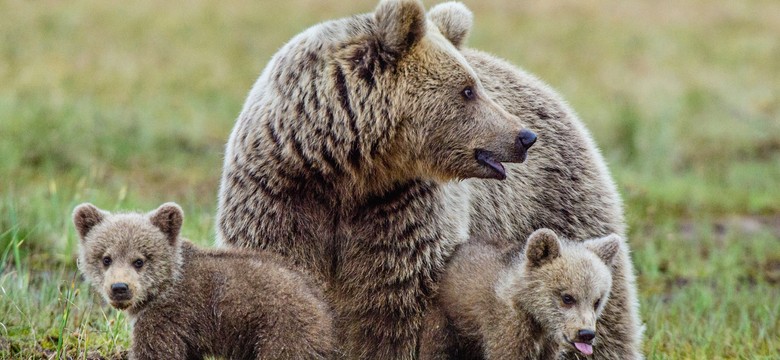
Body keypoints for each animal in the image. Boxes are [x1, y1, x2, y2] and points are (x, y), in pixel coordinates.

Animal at [74, 202, 336, 360]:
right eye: (106, 258)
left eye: (139, 261)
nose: (120, 288)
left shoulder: (167, 318)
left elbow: (156, 352)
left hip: (283, 329)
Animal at [420, 229, 620, 358]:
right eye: (567, 297)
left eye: (597, 301)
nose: (586, 333)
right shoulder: (508, 328)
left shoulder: (548, 344)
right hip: (444, 320)